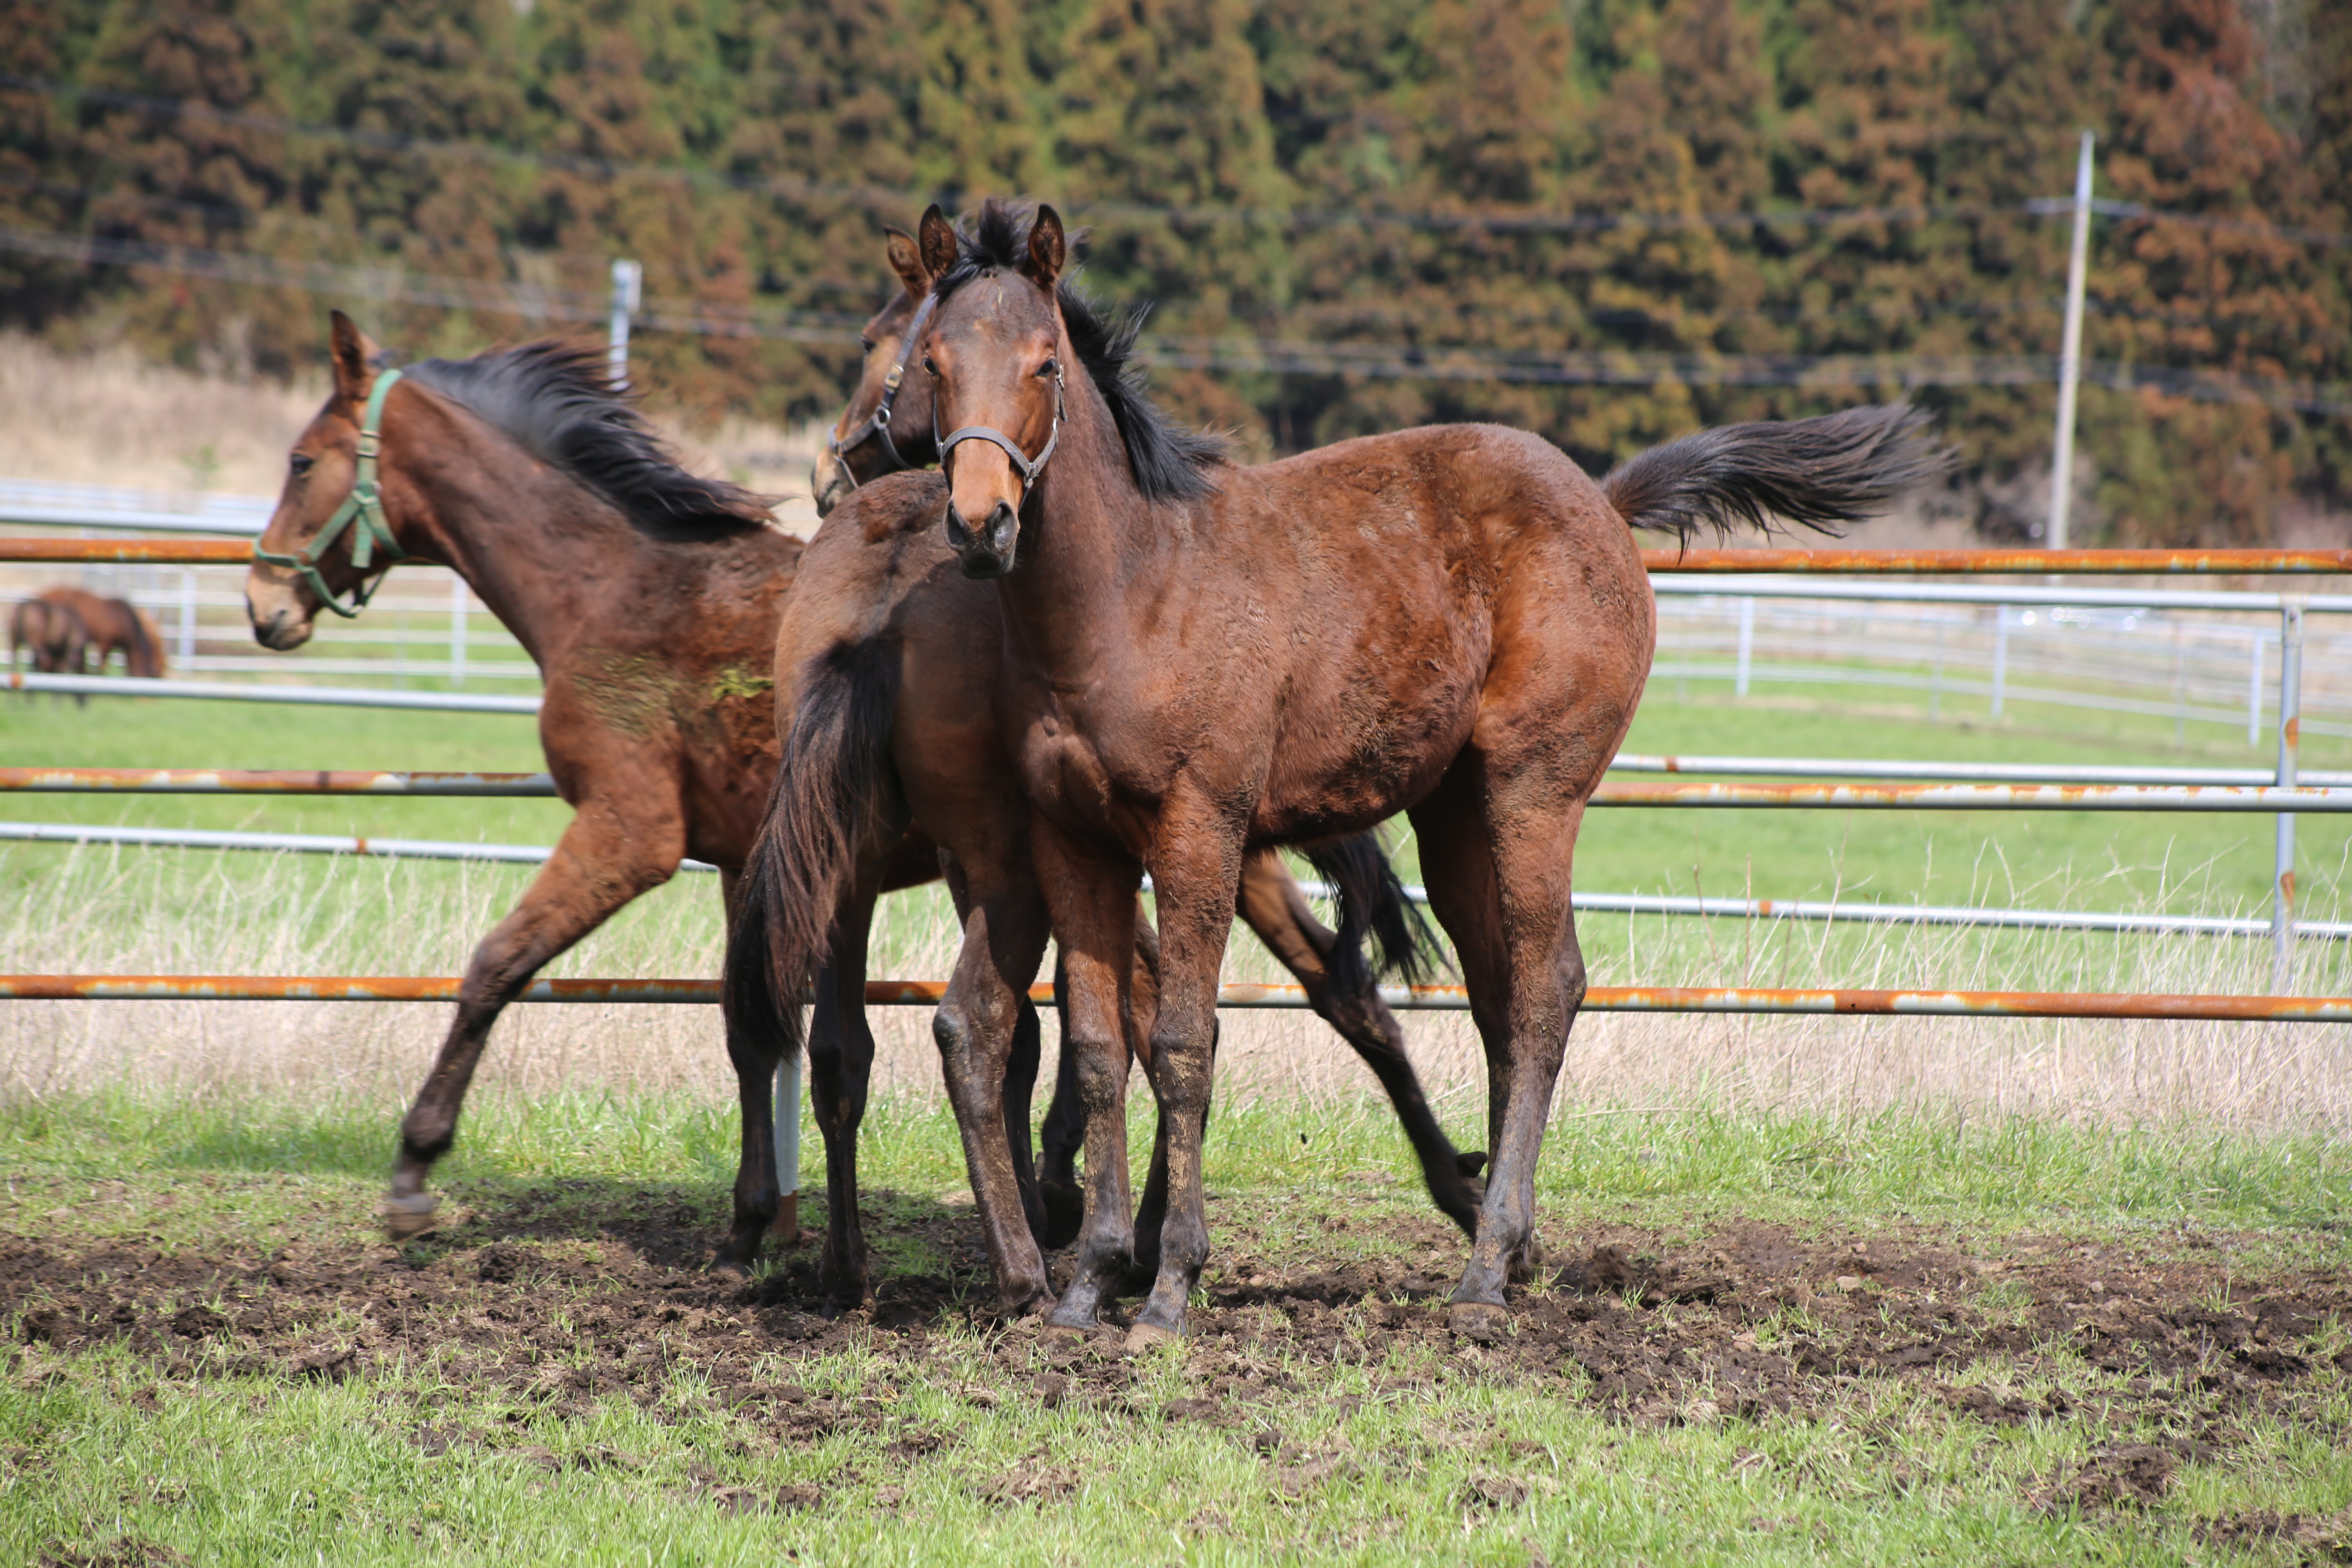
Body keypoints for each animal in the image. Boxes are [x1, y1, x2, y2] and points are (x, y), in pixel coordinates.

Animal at [898, 200, 1947, 1354]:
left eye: (1043, 363)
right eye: (933, 360)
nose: (981, 525)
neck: (1132, 593)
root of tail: (1601, 499)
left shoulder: (1198, 828)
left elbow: (1180, 1041)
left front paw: (1170, 1289)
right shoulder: (1071, 841)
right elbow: (1096, 1051)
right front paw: (1085, 1287)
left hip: (1534, 793)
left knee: (1546, 987)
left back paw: (1485, 1271)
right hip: (1454, 819)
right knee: (1498, 995)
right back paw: (1508, 1241)